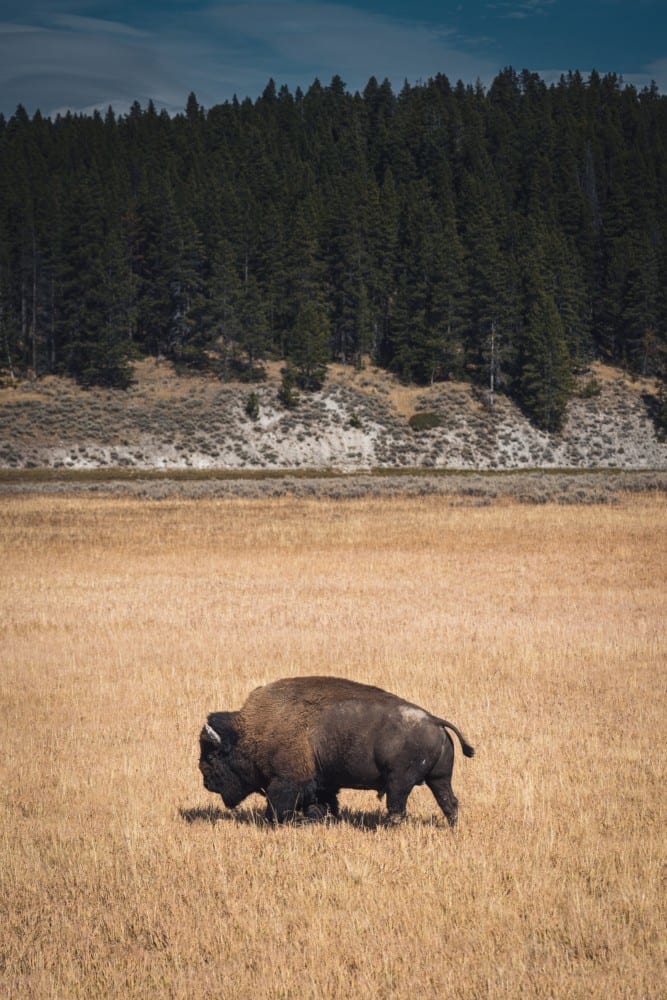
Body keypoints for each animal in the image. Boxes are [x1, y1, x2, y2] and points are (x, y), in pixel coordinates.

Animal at [199, 676, 474, 825]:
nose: (206, 783)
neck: (253, 729)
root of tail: (435, 721)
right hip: (439, 778)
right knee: (449, 802)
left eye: (211, 757)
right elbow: (323, 804)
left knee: (398, 808)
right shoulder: (322, 784)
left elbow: (279, 804)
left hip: (400, 783)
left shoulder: (287, 781)